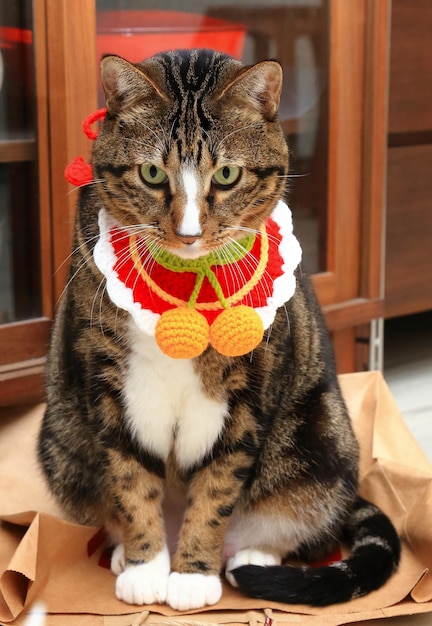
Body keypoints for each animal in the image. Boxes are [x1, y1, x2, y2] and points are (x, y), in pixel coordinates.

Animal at [38, 48, 400, 608]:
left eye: (227, 174)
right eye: (151, 172)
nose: (188, 233)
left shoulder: (251, 391)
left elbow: (217, 487)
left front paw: (192, 575)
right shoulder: (107, 382)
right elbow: (130, 478)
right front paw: (146, 566)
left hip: (321, 440)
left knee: (291, 517)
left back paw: (251, 556)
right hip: (61, 440)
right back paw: (122, 550)